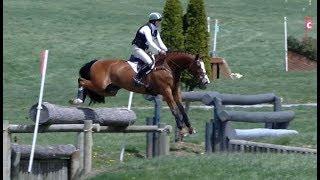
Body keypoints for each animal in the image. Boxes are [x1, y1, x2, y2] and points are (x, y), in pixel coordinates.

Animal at [69, 51, 211, 139]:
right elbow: (174, 109)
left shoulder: (176, 92)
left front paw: (190, 129)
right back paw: (77, 100)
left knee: (87, 84)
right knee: (81, 80)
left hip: (109, 90)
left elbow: (182, 109)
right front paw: (182, 130)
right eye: (198, 66)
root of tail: (96, 62)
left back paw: (79, 99)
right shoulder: (166, 92)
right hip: (100, 85)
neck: (168, 67)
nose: (206, 82)